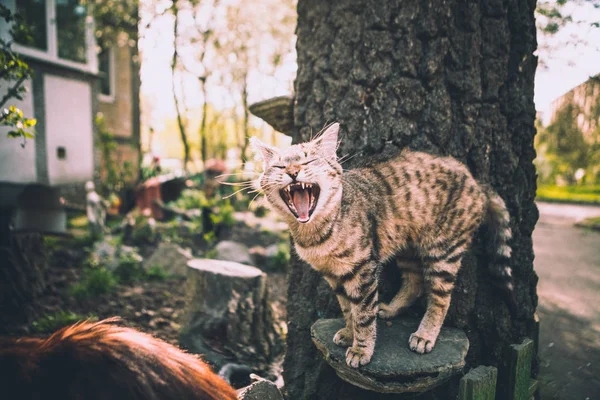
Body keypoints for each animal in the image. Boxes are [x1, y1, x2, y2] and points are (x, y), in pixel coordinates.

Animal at [251, 122, 512, 368]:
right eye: (279, 167)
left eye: (309, 160)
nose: (293, 172)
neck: (317, 235)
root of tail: (477, 182)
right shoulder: (333, 275)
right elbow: (348, 308)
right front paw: (350, 333)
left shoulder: (364, 269)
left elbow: (363, 313)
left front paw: (361, 349)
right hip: (406, 245)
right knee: (415, 282)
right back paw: (392, 308)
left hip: (443, 252)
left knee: (440, 298)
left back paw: (425, 334)